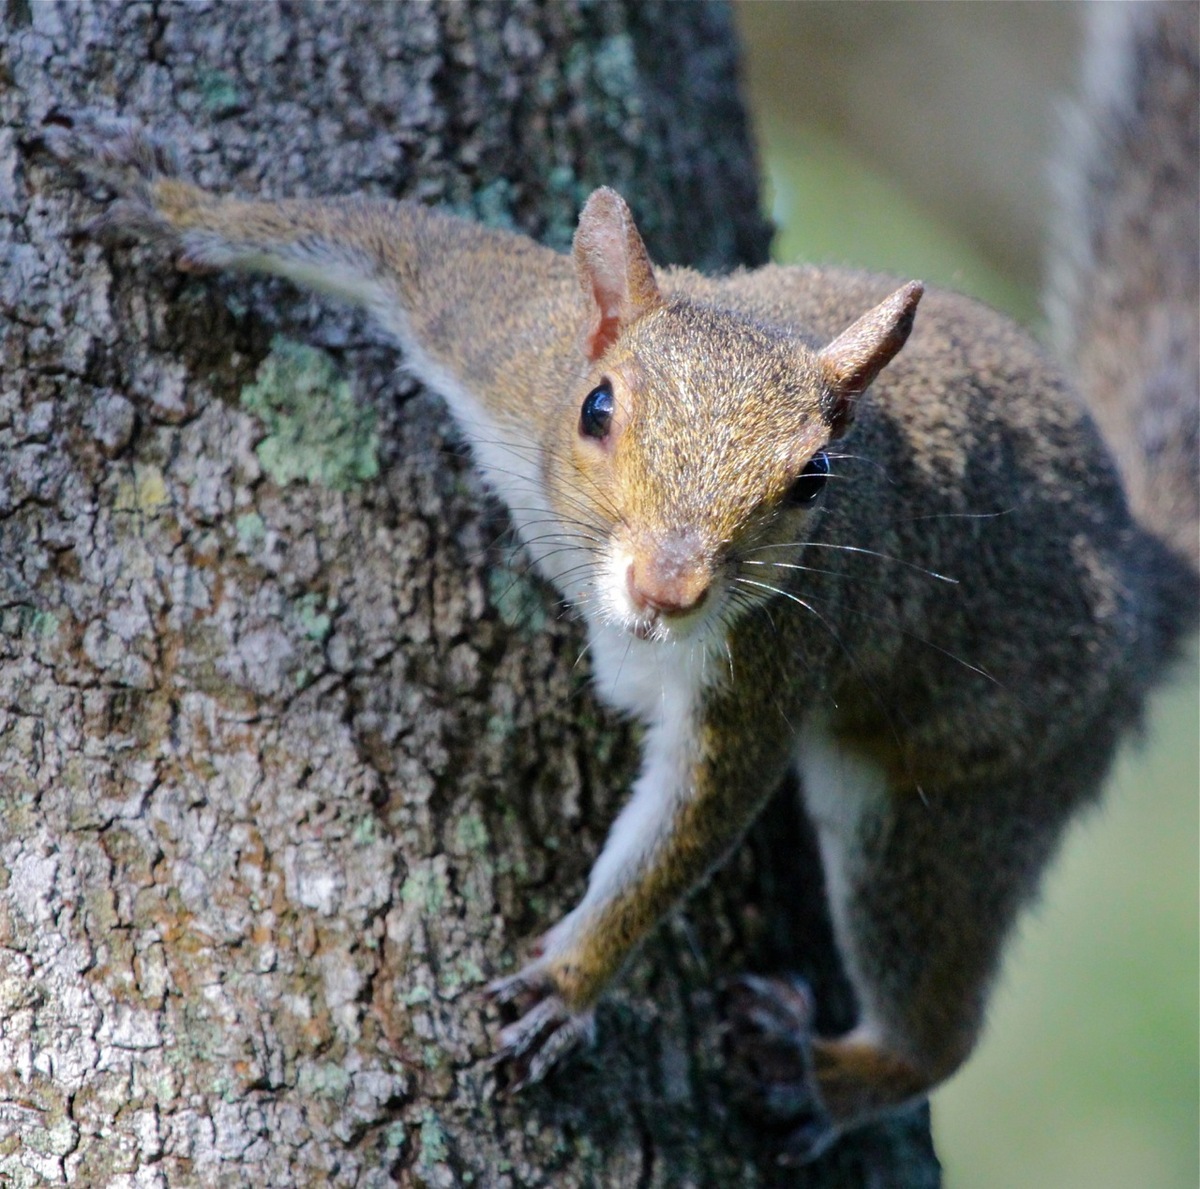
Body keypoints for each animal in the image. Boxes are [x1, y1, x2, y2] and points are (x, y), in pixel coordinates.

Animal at [45, 0, 1198, 1163]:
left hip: (963, 797)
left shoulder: (773, 654)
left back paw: (831, 1076)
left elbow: (686, 822)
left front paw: (568, 984)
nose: (669, 588)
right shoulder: (498, 330)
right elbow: (376, 237)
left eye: (815, 479)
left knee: (937, 1011)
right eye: (598, 407)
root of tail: (1146, 583)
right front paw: (167, 200)